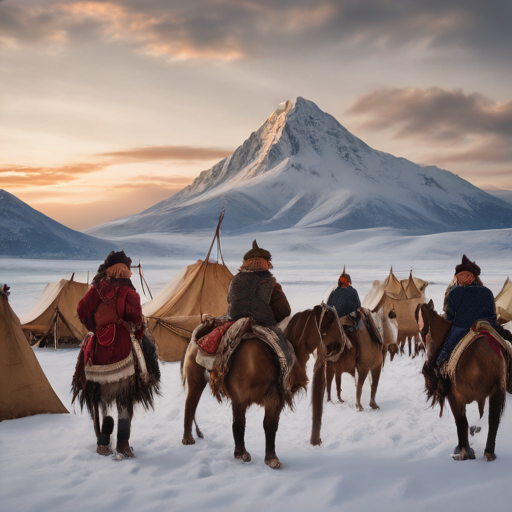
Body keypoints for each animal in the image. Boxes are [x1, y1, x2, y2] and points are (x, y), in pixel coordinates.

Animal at [182, 304, 346, 468]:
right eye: (331, 320)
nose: (342, 345)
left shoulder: (271, 397)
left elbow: (269, 425)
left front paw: (271, 459)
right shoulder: (248, 398)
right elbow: (249, 423)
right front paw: (247, 454)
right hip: (196, 383)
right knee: (190, 405)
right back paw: (188, 439)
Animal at [418, 302, 506, 462]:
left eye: (422, 331)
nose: (426, 367)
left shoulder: (454, 396)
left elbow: (461, 422)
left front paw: (463, 452)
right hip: (498, 389)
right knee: (493, 420)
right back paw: (489, 452)